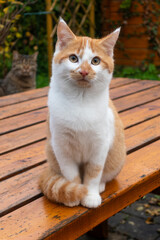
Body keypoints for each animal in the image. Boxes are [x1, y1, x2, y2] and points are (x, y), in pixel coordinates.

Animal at [39, 18, 125, 208]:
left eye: (95, 61)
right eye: (73, 58)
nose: (84, 71)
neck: (80, 100)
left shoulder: (100, 146)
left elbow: (93, 174)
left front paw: (90, 194)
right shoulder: (61, 147)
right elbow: (71, 175)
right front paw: (74, 194)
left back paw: (100, 186)